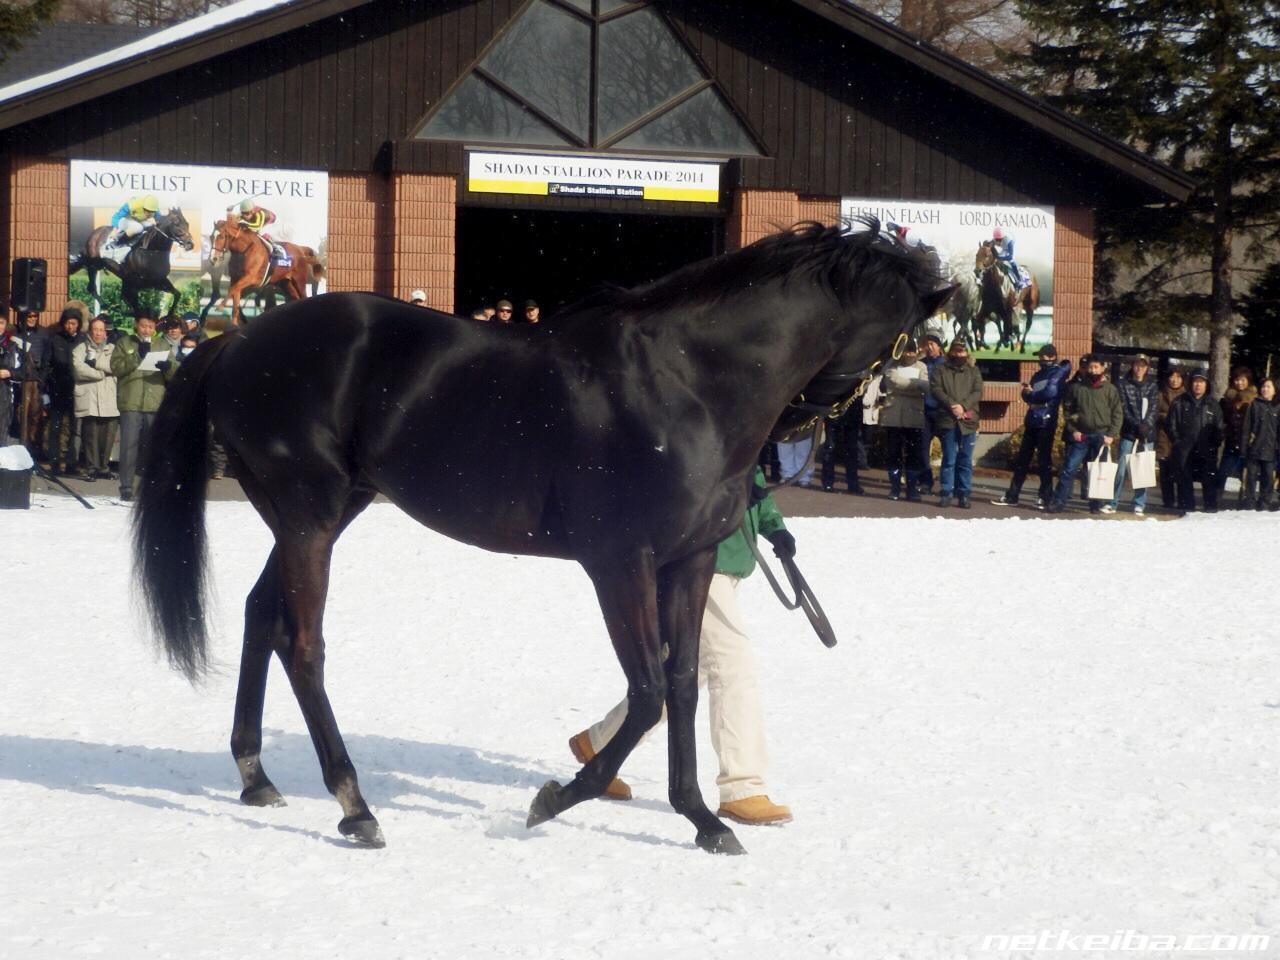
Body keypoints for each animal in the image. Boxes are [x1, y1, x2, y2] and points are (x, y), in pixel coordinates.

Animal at [135, 224, 957, 855]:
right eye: (903, 341)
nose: (805, 430)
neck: (684, 382)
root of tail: (241, 340)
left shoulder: (688, 562)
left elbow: (683, 684)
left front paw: (701, 818)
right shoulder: (619, 563)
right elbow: (647, 692)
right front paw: (554, 799)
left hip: (322, 515)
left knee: (259, 616)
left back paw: (257, 777)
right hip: (311, 518)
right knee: (303, 644)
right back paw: (355, 806)